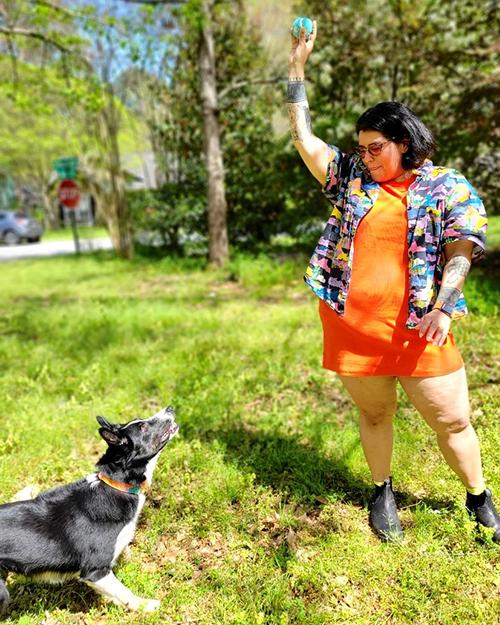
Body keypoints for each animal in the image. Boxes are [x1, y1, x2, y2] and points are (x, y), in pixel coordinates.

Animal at [0, 404, 179, 616]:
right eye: (143, 427)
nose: (170, 408)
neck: (116, 485)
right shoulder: (95, 570)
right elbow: (124, 592)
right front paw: (145, 605)